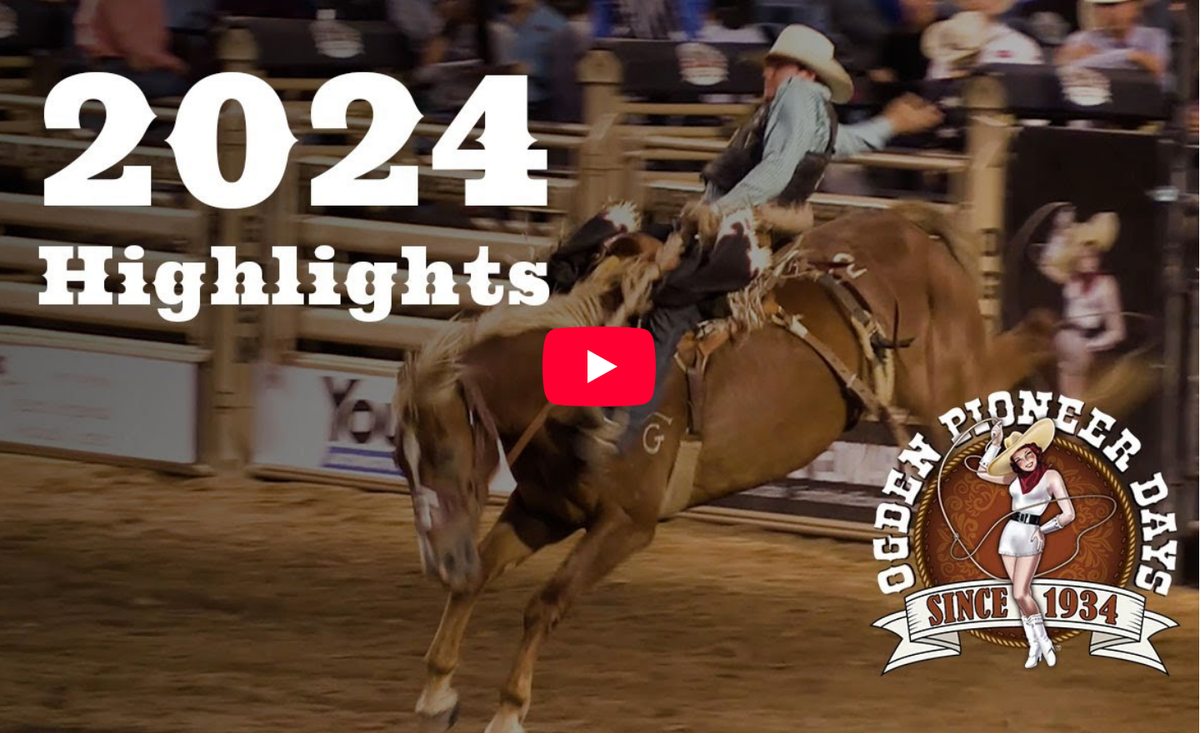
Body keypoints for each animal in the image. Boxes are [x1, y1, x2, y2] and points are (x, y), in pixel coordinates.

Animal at [391, 202, 1059, 733]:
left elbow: (544, 604)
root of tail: (905, 227)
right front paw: (436, 694)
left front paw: (507, 712)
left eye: (446, 452)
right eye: (401, 460)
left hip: (950, 392)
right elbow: (479, 578)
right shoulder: (543, 510)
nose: (437, 560)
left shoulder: (626, 526)